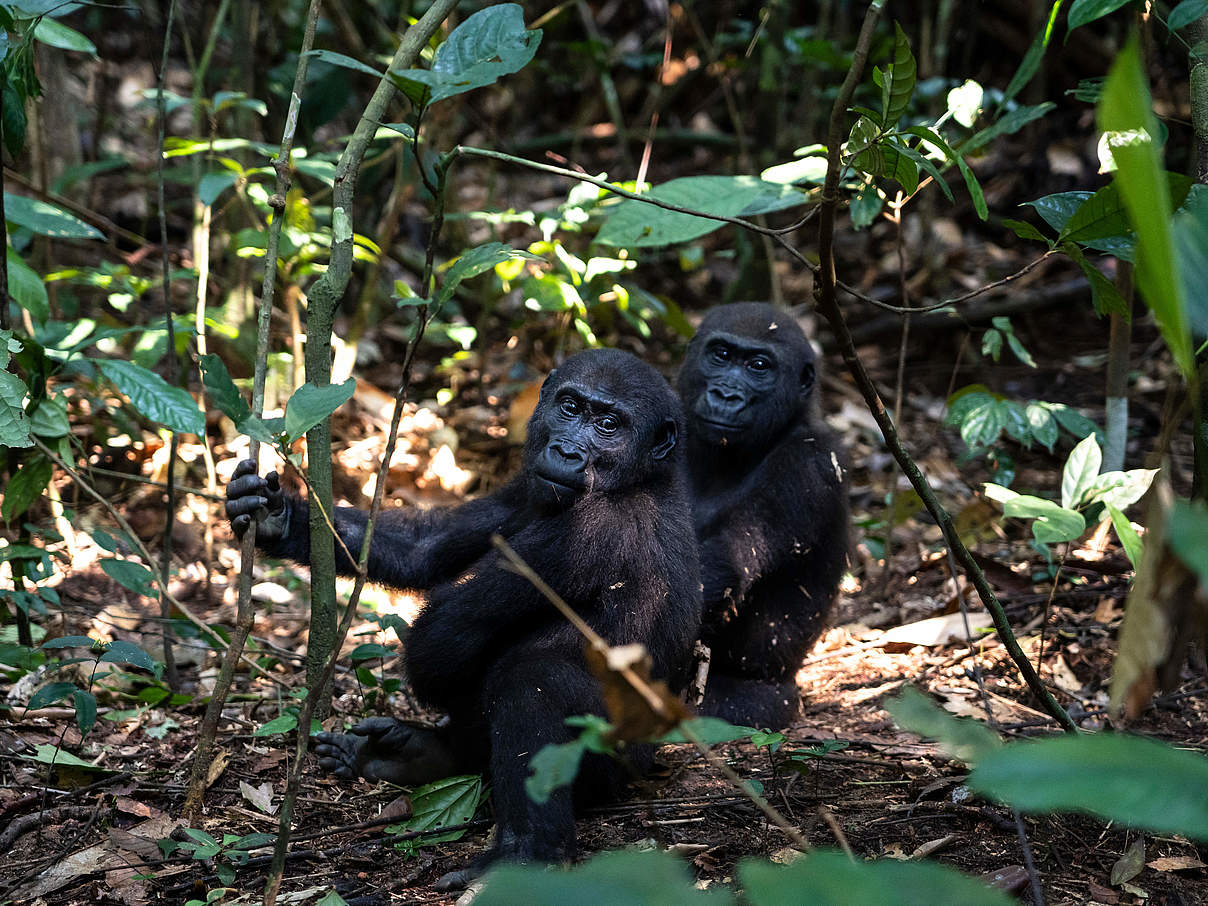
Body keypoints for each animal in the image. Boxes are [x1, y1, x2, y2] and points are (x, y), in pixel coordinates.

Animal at [225, 350, 700, 889]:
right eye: (571, 407)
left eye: (609, 425)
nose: (566, 451)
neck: (646, 478)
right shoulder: (522, 490)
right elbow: (426, 549)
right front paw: (276, 517)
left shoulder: (593, 529)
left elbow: (447, 634)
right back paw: (413, 754)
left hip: (616, 765)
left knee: (531, 683)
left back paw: (528, 851)